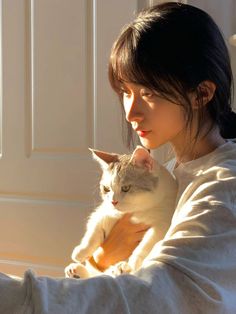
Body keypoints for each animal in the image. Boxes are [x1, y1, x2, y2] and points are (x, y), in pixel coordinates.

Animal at [64, 146, 177, 278]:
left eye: (126, 188)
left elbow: (146, 244)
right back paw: (75, 271)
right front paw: (81, 251)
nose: (113, 201)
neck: (137, 211)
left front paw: (134, 262)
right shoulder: (102, 213)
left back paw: (120, 268)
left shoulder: (161, 224)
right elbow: (93, 233)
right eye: (106, 189)